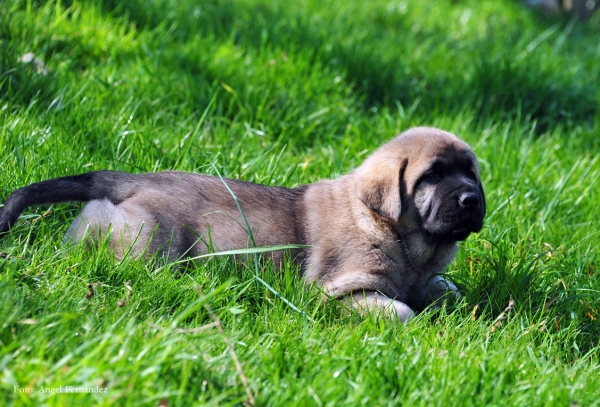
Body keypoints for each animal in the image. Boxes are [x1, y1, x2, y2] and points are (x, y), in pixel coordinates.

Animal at [0, 127, 486, 322]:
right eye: (433, 175)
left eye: (471, 173)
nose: (472, 199)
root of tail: (132, 178)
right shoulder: (334, 292)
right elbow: (402, 311)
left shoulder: (429, 276)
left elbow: (448, 290)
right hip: (150, 243)